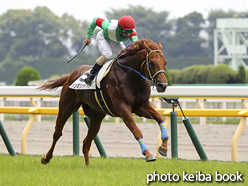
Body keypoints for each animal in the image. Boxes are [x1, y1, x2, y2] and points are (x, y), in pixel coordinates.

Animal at [38, 37, 170, 165]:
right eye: (152, 62)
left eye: (165, 62)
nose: (163, 85)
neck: (131, 77)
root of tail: (72, 74)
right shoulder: (123, 108)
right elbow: (136, 131)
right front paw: (148, 154)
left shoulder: (141, 106)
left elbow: (159, 117)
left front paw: (163, 148)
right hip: (66, 107)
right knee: (57, 133)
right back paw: (46, 158)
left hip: (96, 116)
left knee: (86, 142)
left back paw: (88, 166)